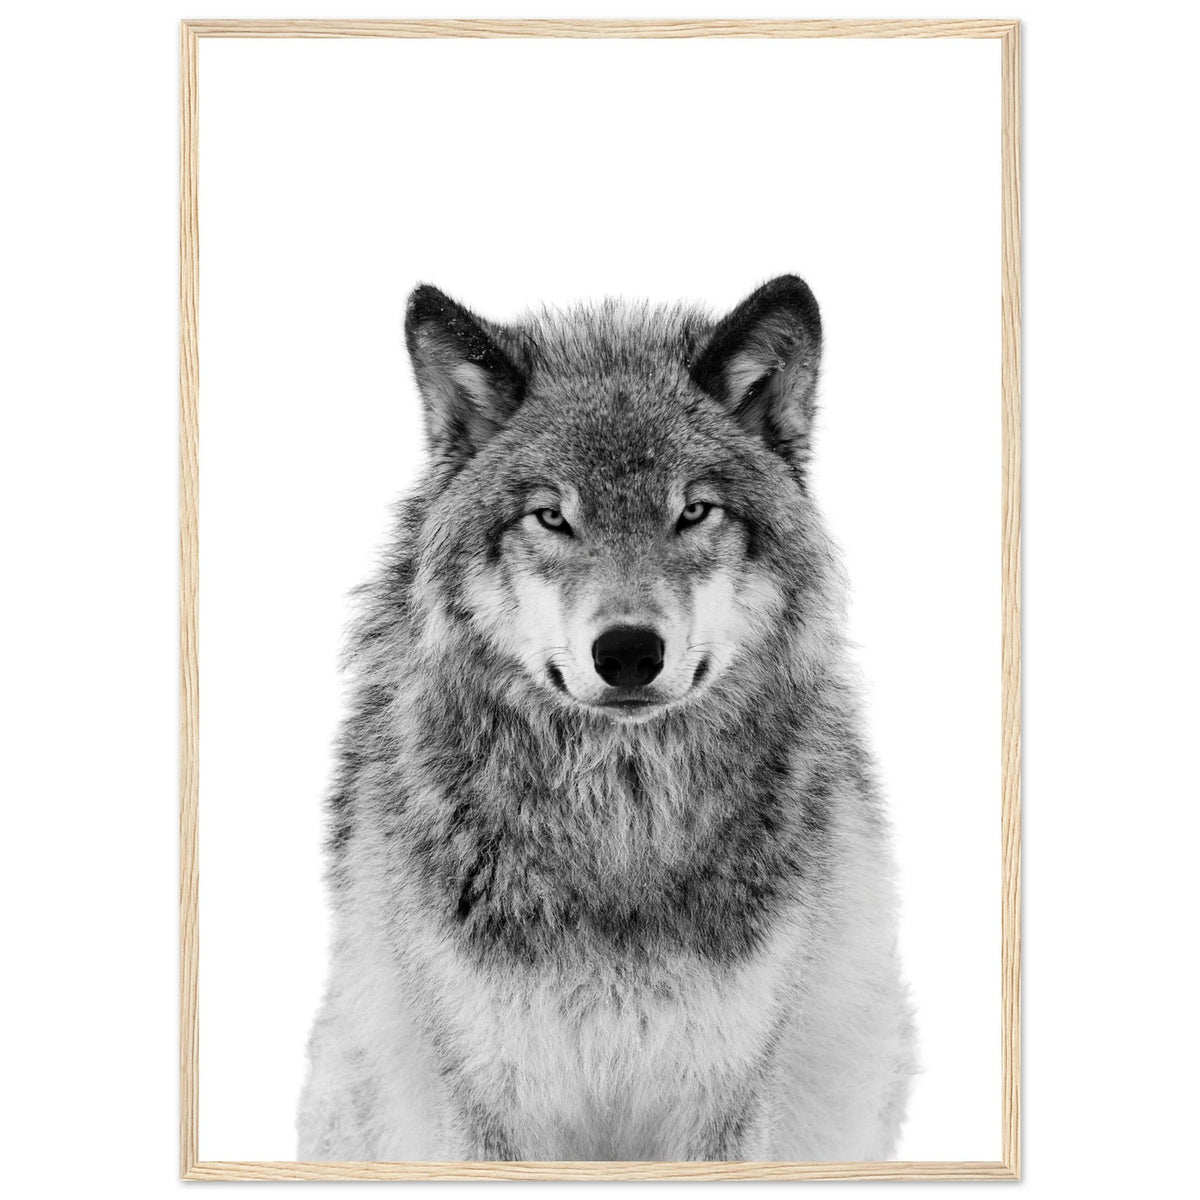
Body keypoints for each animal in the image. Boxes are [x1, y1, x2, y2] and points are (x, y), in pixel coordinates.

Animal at [296, 276, 915, 1162]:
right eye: (553, 517)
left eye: (694, 511)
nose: (627, 651)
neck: (618, 829)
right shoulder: (483, 1099)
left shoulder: (725, 1096)